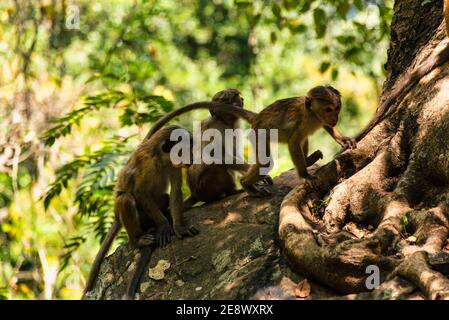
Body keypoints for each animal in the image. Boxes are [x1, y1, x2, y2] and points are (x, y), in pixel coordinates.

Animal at [83, 125, 197, 298]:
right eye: (185, 149)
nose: (192, 155)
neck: (161, 158)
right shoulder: (147, 163)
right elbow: (140, 192)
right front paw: (164, 225)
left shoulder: (173, 165)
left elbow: (175, 191)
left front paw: (179, 227)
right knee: (126, 199)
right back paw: (137, 240)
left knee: (164, 197)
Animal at [144, 85, 354, 196]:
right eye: (329, 109)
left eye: (337, 108)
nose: (336, 116)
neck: (312, 113)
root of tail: (258, 117)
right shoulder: (303, 119)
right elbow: (294, 141)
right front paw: (304, 175)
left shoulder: (319, 120)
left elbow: (325, 128)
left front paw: (343, 140)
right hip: (258, 133)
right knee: (268, 160)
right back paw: (246, 184)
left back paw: (309, 159)